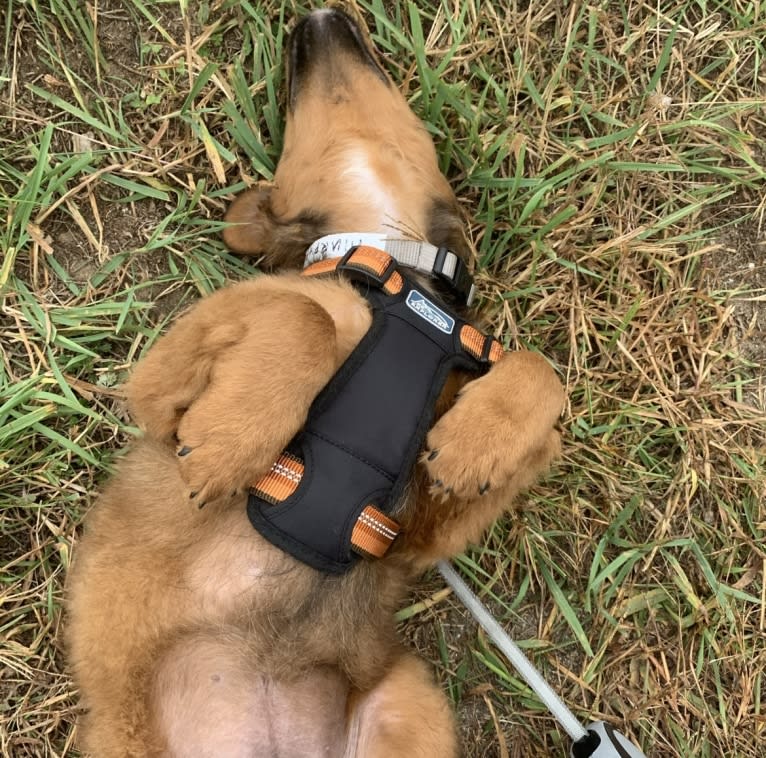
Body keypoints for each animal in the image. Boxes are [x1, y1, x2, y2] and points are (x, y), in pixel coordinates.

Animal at [69, 7, 568, 758]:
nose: (318, 17)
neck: (394, 266)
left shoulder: (412, 535)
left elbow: (543, 373)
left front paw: (476, 442)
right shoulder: (158, 388)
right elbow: (301, 316)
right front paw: (229, 442)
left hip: (409, 709)